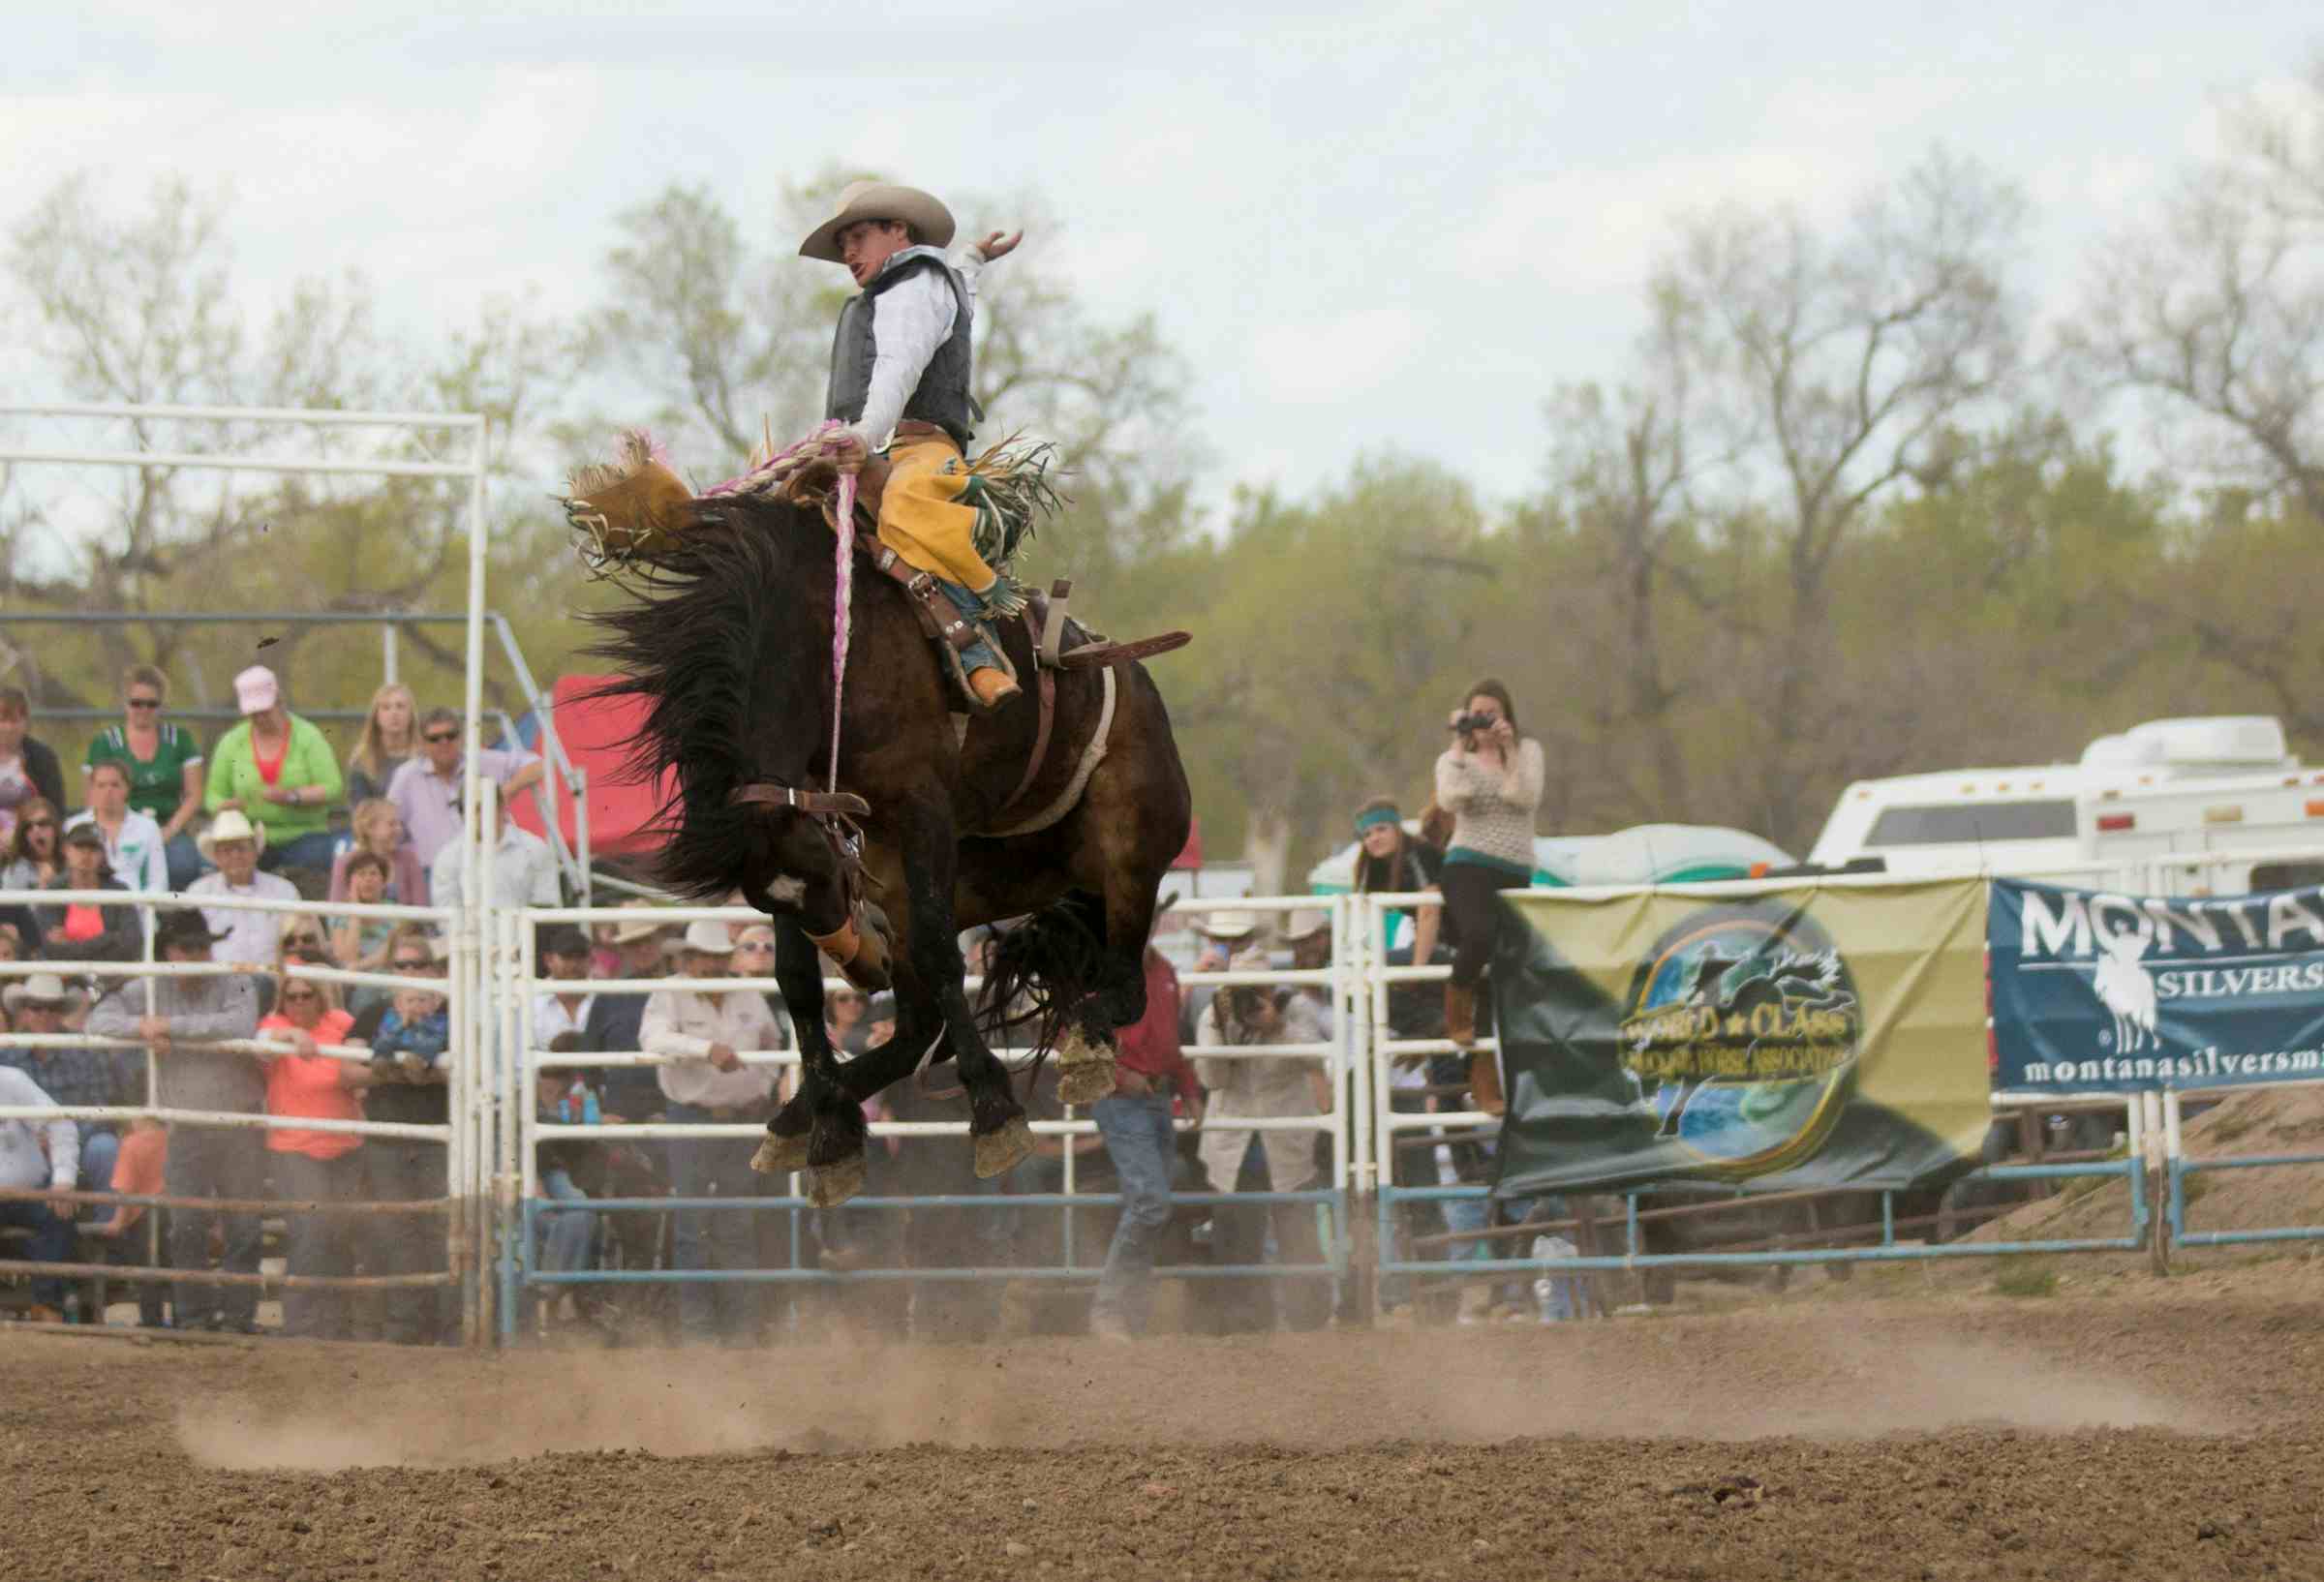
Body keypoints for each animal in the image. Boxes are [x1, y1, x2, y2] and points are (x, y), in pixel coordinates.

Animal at [590, 499, 1189, 1199]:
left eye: (825, 875)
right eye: (777, 898)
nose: (864, 967)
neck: (831, 657)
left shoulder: (921, 808)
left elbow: (940, 954)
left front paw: (994, 1111)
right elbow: (796, 981)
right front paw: (829, 1128)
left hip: (1127, 855)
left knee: (1126, 989)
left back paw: (1085, 1044)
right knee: (919, 1031)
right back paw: (801, 1115)